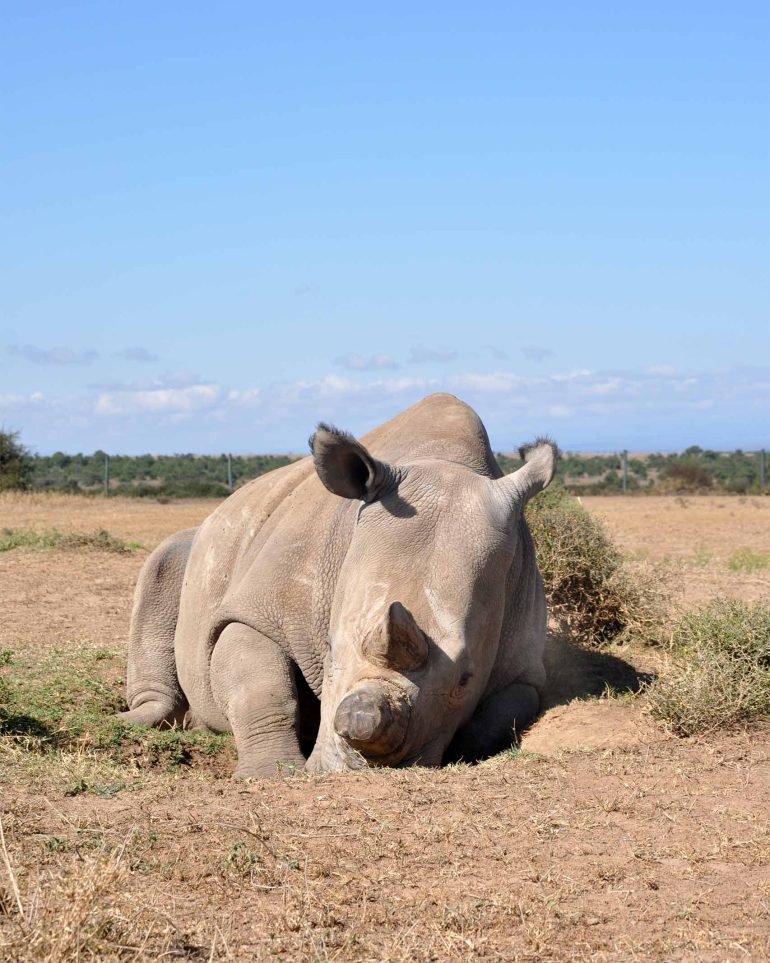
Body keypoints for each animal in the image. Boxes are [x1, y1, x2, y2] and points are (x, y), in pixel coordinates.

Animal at [120, 393, 557, 776]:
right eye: (329, 649)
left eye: (465, 679)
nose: (359, 732)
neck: (442, 457)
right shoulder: (261, 605)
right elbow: (260, 686)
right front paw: (270, 774)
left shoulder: (523, 661)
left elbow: (500, 717)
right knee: (166, 560)